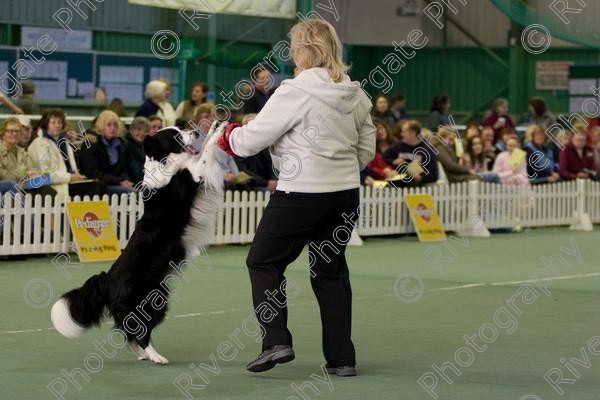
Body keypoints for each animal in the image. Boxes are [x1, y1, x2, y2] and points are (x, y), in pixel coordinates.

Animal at [50, 123, 225, 364]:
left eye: (182, 128)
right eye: (176, 136)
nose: (195, 132)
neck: (165, 163)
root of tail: (107, 280)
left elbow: (202, 151)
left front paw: (213, 127)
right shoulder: (192, 178)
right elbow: (204, 156)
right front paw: (220, 130)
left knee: (129, 332)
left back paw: (143, 355)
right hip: (152, 300)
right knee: (139, 330)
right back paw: (156, 356)